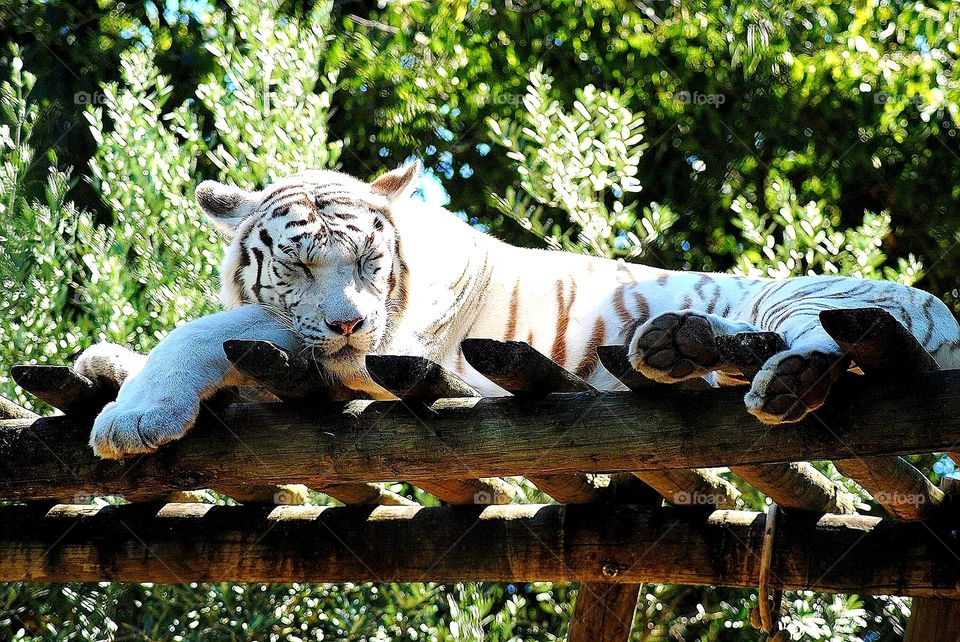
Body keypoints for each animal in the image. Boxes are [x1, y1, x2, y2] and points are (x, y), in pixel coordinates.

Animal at [74, 161, 960, 459]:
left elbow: (220, 326)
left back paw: (784, 379)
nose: (349, 323)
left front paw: (132, 418)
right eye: (297, 264)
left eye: (367, 264)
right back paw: (672, 345)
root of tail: (945, 317)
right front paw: (104, 364)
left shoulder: (378, 352)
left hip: (819, 296)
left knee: (806, 345)